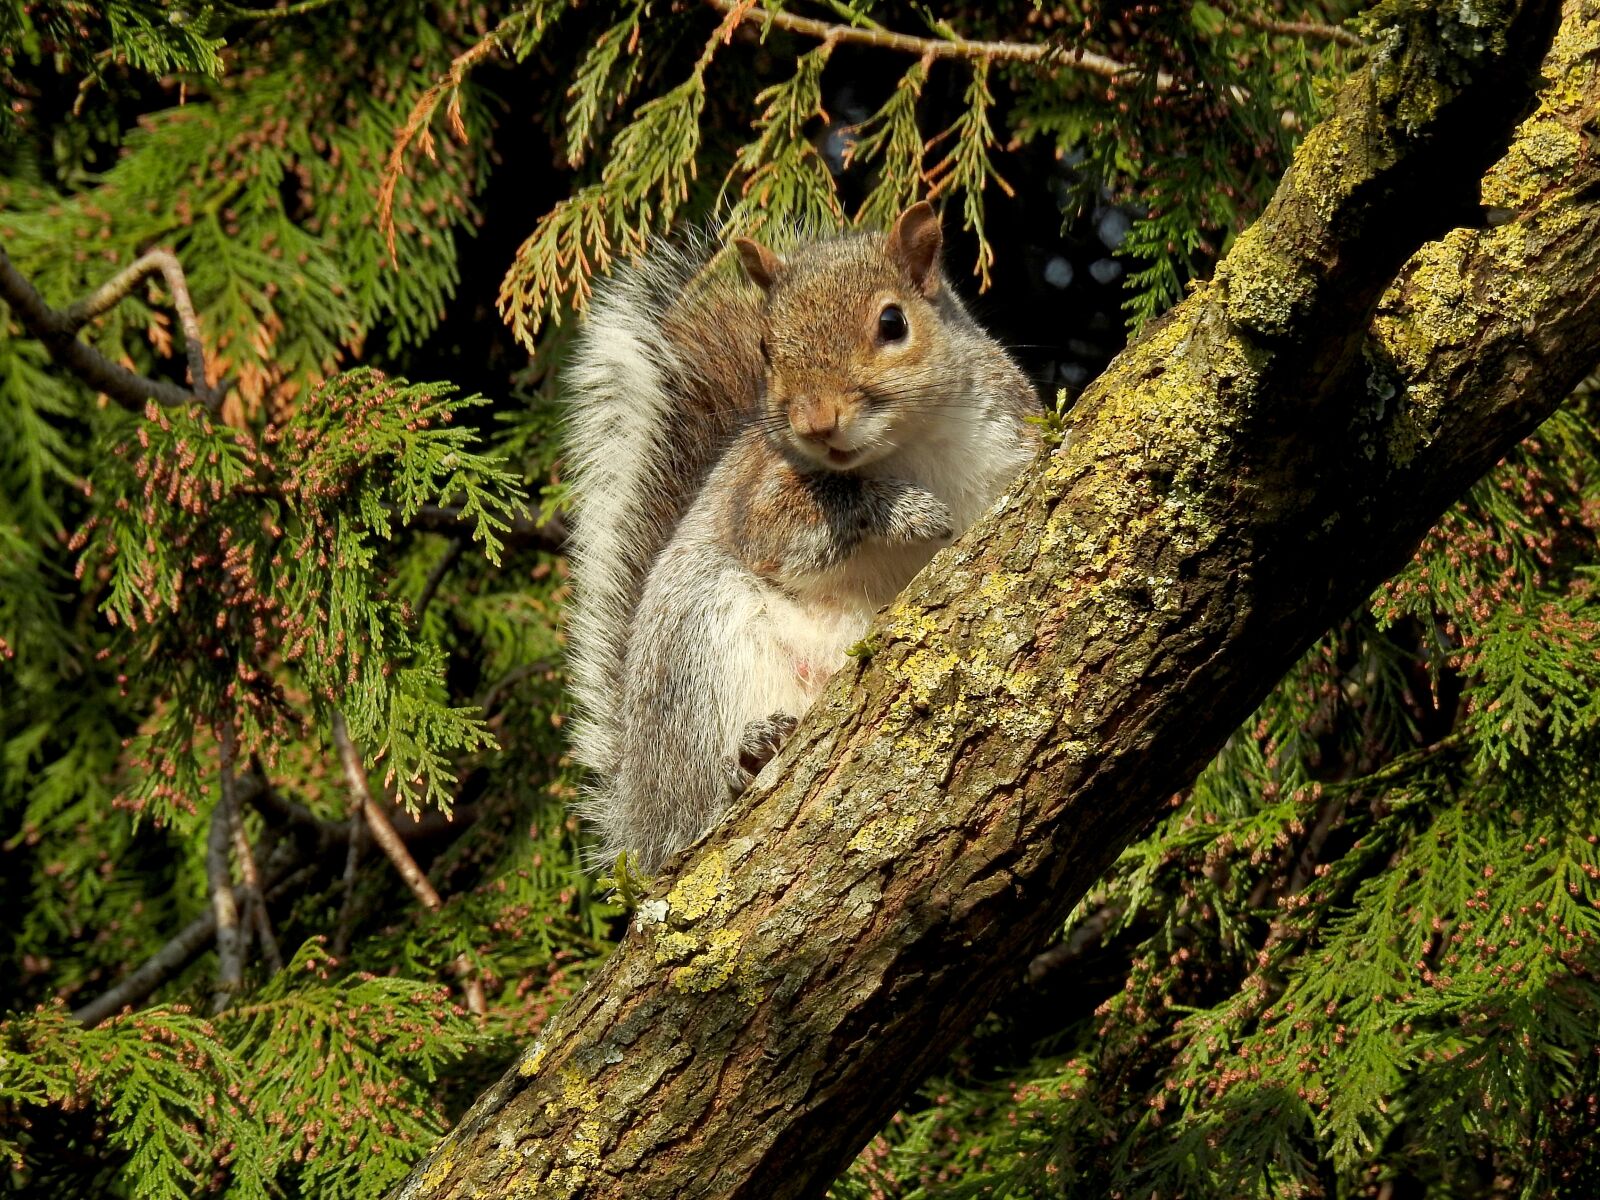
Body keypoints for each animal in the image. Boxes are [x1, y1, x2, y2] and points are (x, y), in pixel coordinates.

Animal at [562, 203, 1039, 874]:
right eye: (766, 347)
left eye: (892, 323)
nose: (816, 422)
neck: (907, 448)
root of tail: (639, 821)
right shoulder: (758, 497)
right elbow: (797, 527)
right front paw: (907, 511)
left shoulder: (1010, 437)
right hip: (699, 643)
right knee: (694, 804)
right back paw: (747, 760)